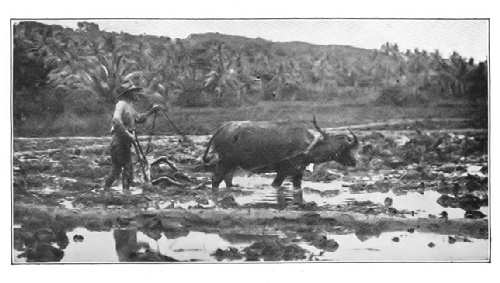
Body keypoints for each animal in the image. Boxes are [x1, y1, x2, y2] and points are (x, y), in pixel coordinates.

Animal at [201, 116, 358, 190]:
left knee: (227, 179)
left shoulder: (297, 174)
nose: (354, 161)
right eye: (344, 147)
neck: (307, 148)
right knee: (215, 180)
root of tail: (222, 128)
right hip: (225, 162)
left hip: (231, 164)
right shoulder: (282, 172)